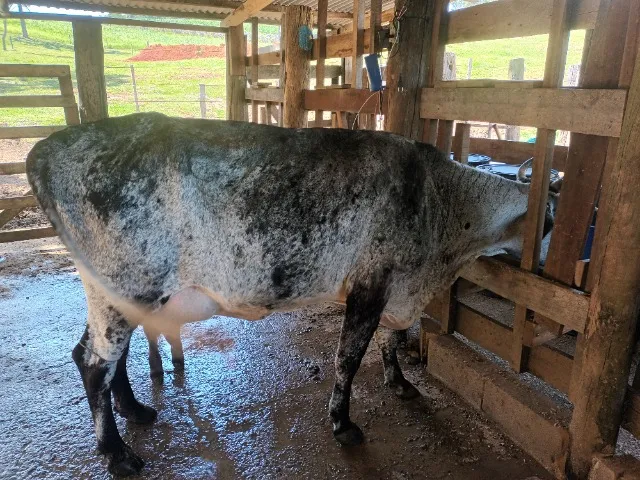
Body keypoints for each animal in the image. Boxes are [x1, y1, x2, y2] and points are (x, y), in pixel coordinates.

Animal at [26, 112, 557, 476]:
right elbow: (349, 357)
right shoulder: (372, 282)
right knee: (94, 362)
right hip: (131, 284)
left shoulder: (399, 286)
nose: (548, 265)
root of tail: (45, 149)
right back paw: (118, 454)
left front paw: (400, 381)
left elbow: (395, 338)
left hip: (120, 293)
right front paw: (343, 423)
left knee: (99, 355)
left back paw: (135, 410)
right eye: (548, 223)